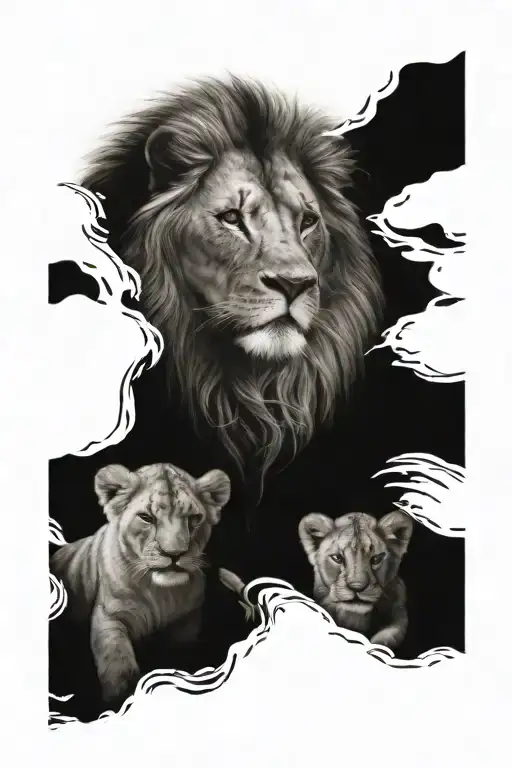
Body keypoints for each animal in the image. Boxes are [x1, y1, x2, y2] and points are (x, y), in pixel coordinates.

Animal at [50, 462, 231, 701]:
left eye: (194, 518)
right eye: (146, 517)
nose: (174, 554)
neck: (161, 592)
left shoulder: (187, 622)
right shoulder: (109, 615)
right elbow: (118, 663)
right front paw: (120, 695)